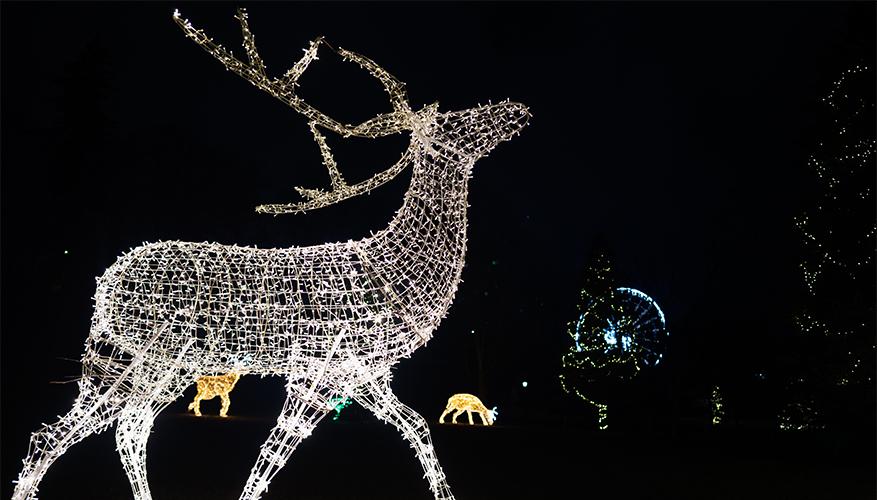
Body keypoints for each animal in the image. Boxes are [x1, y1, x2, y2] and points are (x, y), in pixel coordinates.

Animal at [12, 6, 528, 500]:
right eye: (454, 121)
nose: (517, 108)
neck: (395, 272)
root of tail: (105, 283)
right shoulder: (318, 367)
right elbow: (272, 454)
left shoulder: (367, 375)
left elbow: (419, 428)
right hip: (146, 354)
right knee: (71, 432)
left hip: (151, 362)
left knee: (120, 428)